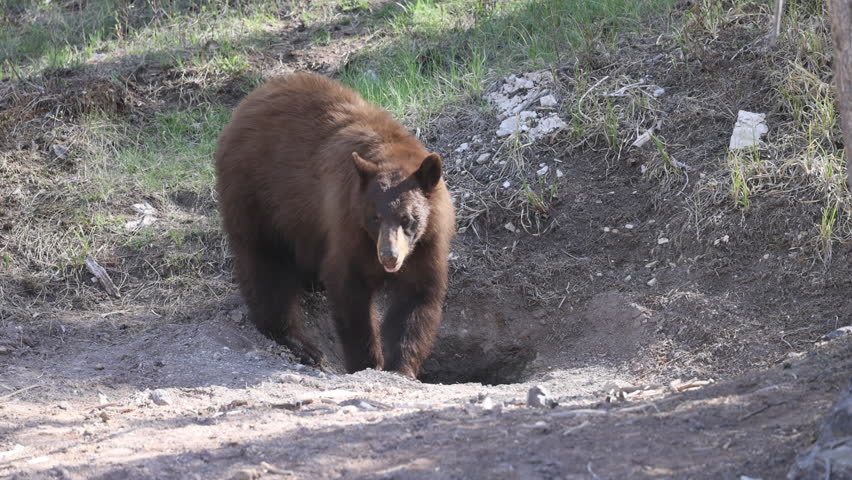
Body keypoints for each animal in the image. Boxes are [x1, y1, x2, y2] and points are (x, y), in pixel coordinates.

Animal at [214, 72, 456, 378]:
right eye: (374, 217)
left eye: (408, 218)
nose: (388, 256)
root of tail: (245, 104)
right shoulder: (349, 226)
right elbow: (350, 292)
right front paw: (368, 362)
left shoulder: (427, 242)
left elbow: (417, 299)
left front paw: (401, 367)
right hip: (256, 195)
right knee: (264, 265)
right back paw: (300, 343)